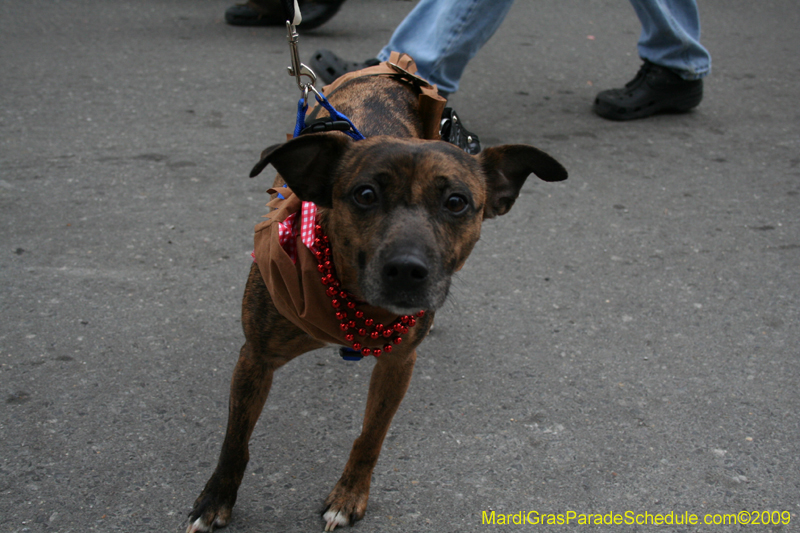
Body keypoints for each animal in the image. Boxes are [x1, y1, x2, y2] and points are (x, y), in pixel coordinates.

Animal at [186, 72, 568, 528]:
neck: (353, 302)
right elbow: (235, 439)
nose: (406, 269)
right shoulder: (256, 358)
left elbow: (371, 436)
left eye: (456, 202)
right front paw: (215, 499)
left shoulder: (397, 364)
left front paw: (349, 495)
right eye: (365, 195)